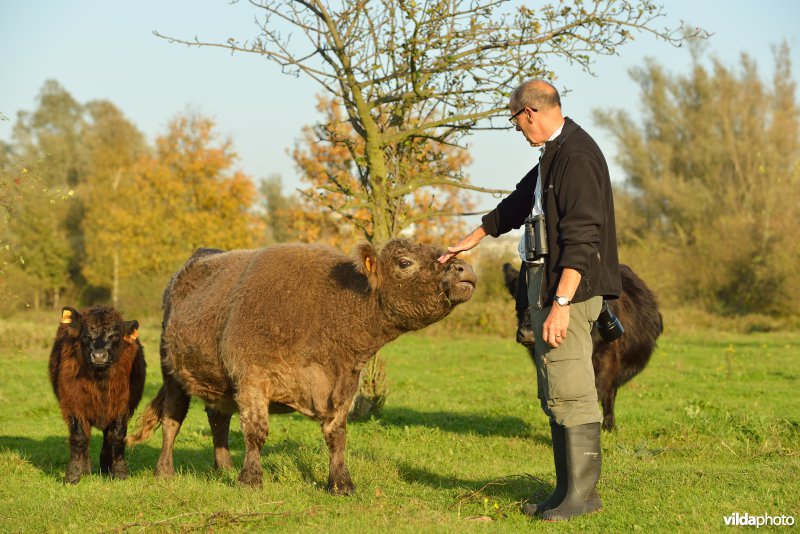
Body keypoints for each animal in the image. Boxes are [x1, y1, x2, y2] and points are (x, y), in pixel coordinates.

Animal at [48, 306, 146, 486]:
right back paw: (85, 469)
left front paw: (120, 472)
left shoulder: (121, 407)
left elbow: (117, 437)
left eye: (115, 335)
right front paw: (73, 475)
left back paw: (106, 468)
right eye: (86, 336)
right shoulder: (74, 406)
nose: (99, 355)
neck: (100, 381)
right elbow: (79, 438)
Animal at [130, 241, 476, 496]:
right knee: (173, 421)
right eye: (405, 262)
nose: (466, 268)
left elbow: (336, 436)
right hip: (172, 373)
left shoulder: (345, 386)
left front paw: (341, 483)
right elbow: (256, 432)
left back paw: (224, 467)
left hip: (219, 383)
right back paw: (164, 472)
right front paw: (251, 479)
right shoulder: (252, 377)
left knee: (218, 418)